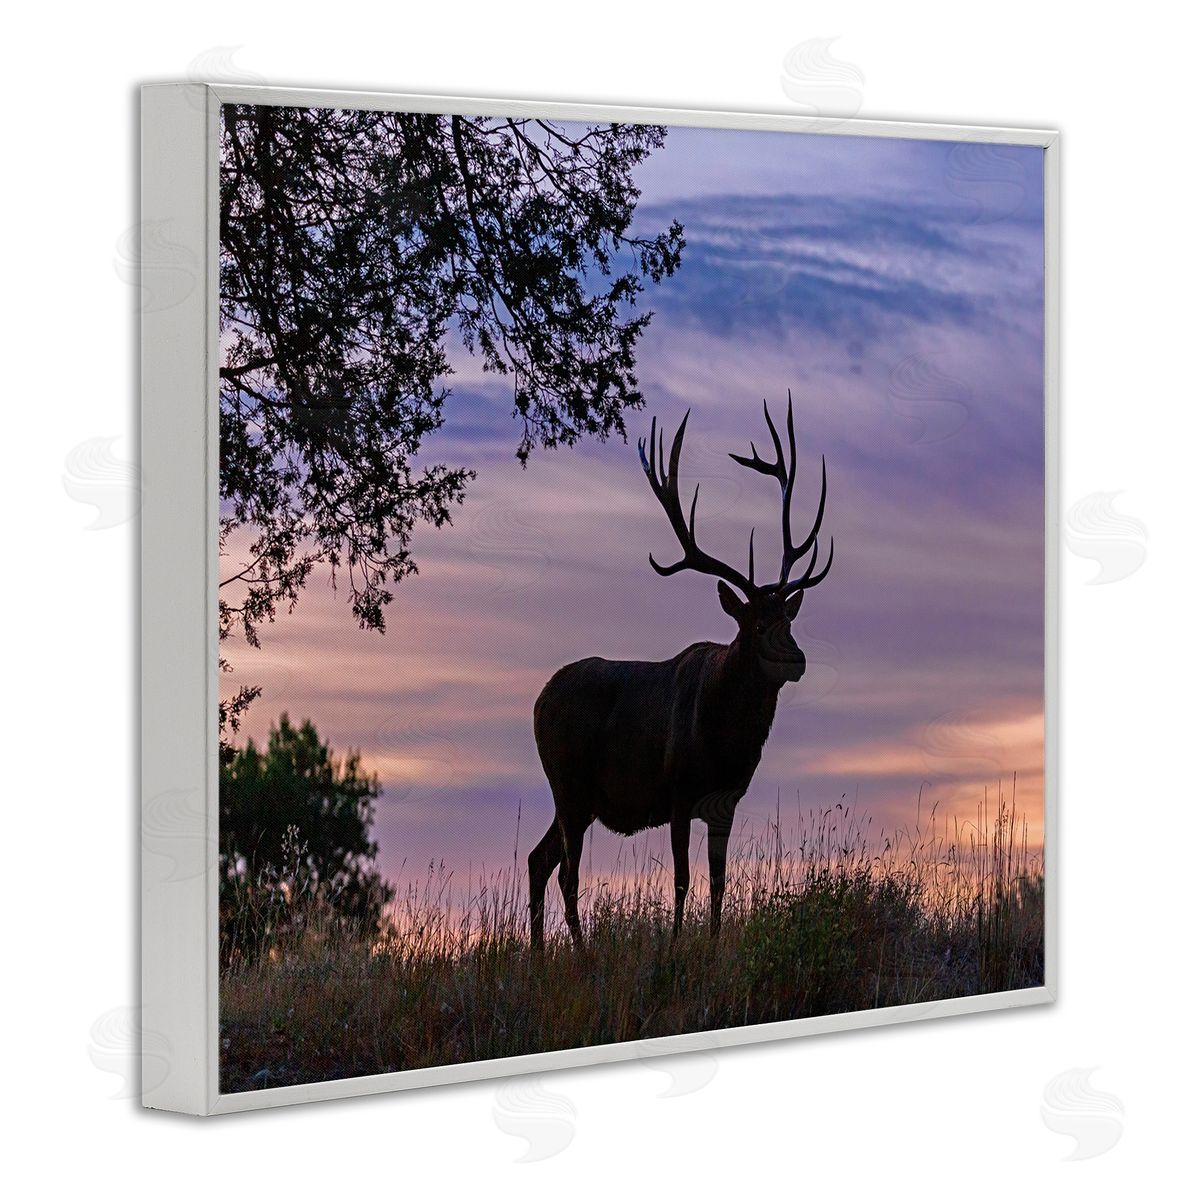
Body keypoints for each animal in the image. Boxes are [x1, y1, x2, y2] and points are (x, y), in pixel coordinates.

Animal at [528, 392, 834, 951]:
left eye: (789, 618)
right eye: (757, 624)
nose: (797, 659)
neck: (725, 739)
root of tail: (538, 701)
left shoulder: (725, 800)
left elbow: (717, 880)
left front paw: (711, 947)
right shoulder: (676, 793)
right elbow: (682, 878)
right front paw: (673, 948)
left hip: (575, 797)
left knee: (540, 859)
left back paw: (539, 955)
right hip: (568, 784)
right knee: (567, 872)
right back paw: (578, 952)